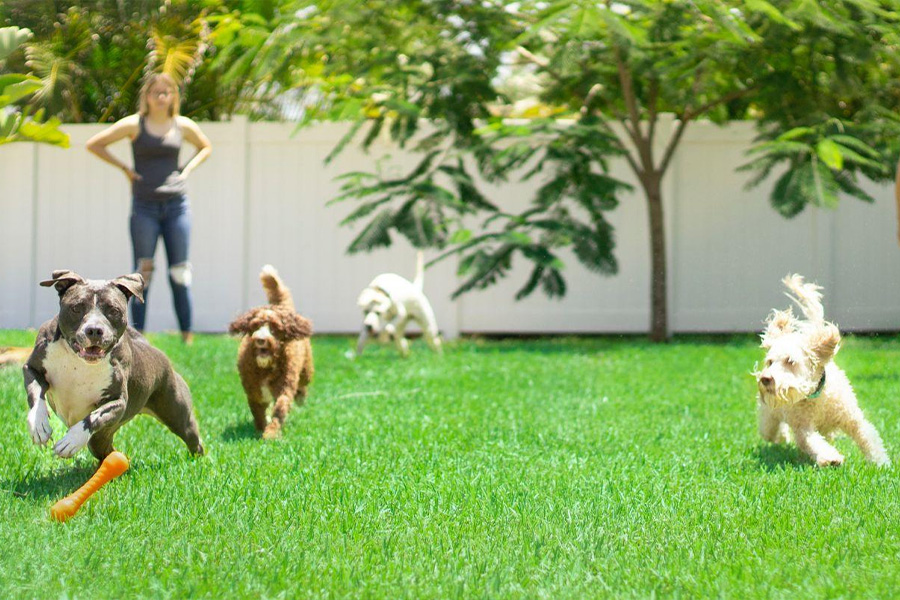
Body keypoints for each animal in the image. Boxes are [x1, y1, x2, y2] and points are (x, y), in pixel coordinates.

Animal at [22, 270, 206, 462]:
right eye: (76, 308)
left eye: (113, 310)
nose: (95, 330)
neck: (79, 361)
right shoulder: (32, 369)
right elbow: (36, 394)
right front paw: (39, 425)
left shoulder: (118, 401)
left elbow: (94, 417)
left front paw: (72, 440)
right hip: (101, 439)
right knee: (108, 451)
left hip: (176, 414)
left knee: (193, 438)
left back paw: (198, 461)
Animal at [229, 264, 312, 438]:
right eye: (255, 325)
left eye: (275, 328)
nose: (261, 339)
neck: (266, 367)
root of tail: (282, 307)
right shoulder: (254, 391)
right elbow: (258, 411)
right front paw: (261, 428)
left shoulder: (285, 386)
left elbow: (280, 408)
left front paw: (271, 433)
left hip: (306, 370)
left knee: (303, 384)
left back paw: (300, 396)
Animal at [756, 274, 888, 466]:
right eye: (770, 362)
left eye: (790, 361)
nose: (765, 378)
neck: (817, 397)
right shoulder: (803, 427)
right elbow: (813, 441)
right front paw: (831, 457)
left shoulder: (852, 418)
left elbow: (867, 436)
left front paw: (880, 462)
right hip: (769, 417)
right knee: (771, 432)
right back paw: (782, 438)